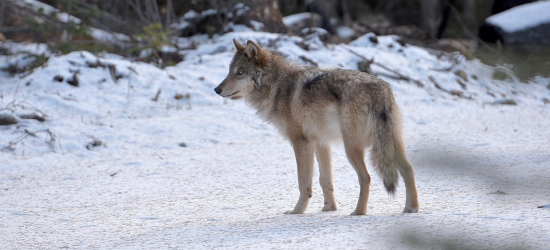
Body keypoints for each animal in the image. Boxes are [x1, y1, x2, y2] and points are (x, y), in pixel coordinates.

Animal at [213, 39, 420, 215]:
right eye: (230, 71)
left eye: (240, 72)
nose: (216, 89)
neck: (276, 86)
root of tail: (379, 89)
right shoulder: (321, 142)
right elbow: (325, 180)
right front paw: (329, 208)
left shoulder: (301, 143)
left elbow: (304, 182)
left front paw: (297, 211)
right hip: (390, 145)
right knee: (409, 169)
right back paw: (411, 208)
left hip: (351, 148)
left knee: (366, 177)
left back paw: (358, 212)